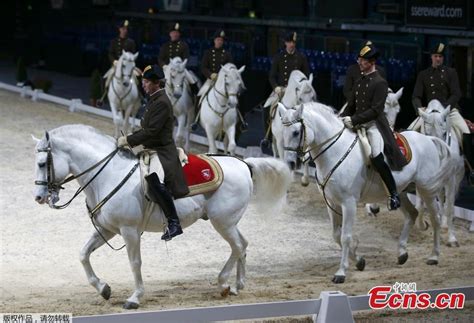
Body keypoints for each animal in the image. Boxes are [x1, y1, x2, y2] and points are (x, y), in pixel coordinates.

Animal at [33, 124, 290, 308]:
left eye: (43, 163)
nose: (39, 197)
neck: (108, 175)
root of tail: (243, 164)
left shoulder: (129, 231)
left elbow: (135, 262)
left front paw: (135, 297)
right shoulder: (108, 229)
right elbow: (83, 254)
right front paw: (103, 288)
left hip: (223, 222)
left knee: (237, 246)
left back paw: (224, 284)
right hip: (229, 222)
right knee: (243, 245)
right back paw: (237, 285)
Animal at [282, 103, 456, 284]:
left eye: (296, 132)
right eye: (283, 131)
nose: (290, 163)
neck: (335, 151)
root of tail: (428, 139)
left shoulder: (348, 203)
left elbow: (345, 236)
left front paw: (341, 272)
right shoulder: (332, 203)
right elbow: (336, 235)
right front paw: (359, 261)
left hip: (427, 190)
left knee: (435, 219)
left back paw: (434, 256)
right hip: (401, 191)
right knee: (412, 214)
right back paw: (402, 253)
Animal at [416, 100, 464, 247]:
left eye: (444, 134)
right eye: (426, 133)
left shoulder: (451, 179)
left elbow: (449, 207)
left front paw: (452, 239)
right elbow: (419, 205)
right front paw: (422, 225)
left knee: (448, 201)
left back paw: (444, 223)